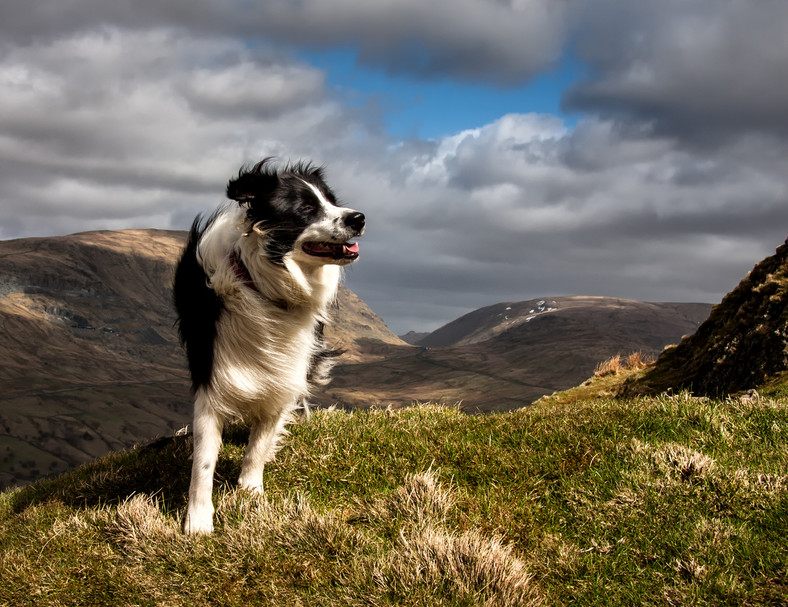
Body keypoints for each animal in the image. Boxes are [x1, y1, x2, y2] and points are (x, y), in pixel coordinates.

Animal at [174, 159, 364, 536]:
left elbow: (259, 443)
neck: (261, 283)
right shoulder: (212, 374)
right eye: (306, 208)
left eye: (332, 201)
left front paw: (250, 492)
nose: (359, 218)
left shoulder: (283, 373)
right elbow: (203, 460)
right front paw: (198, 520)